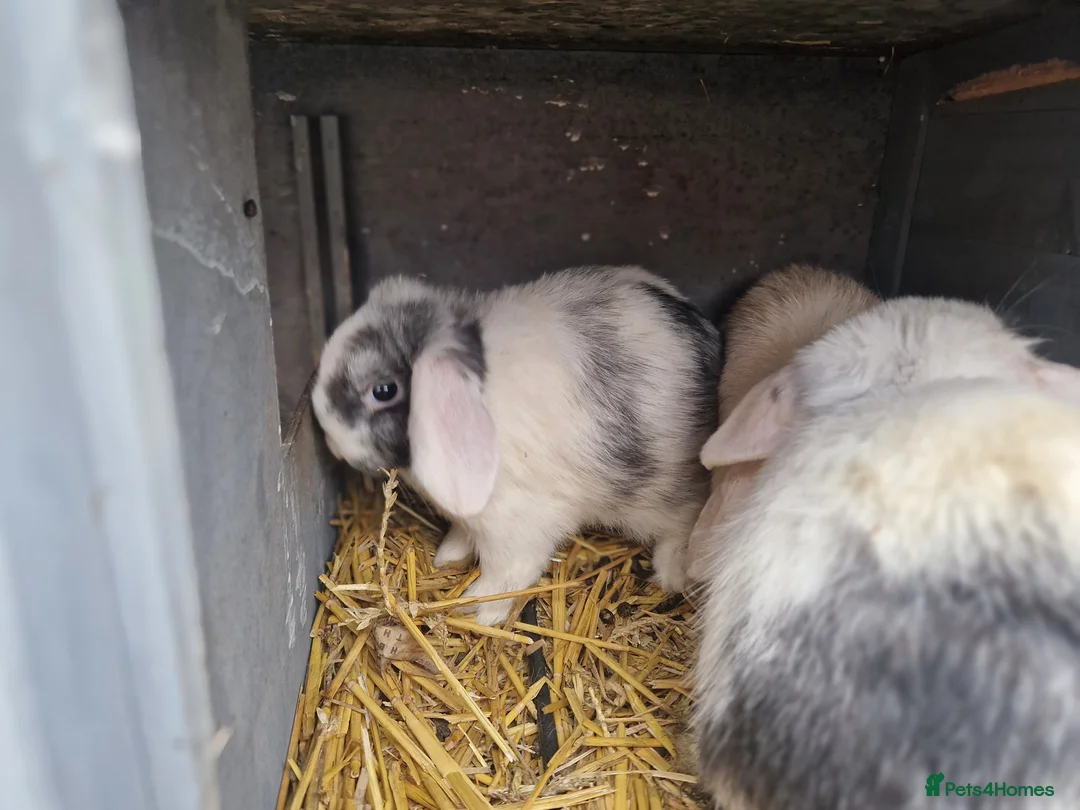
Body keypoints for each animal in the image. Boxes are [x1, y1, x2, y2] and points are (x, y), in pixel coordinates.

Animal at [312, 265, 720, 625]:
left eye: (383, 391)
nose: (331, 443)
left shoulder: (516, 525)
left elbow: (509, 573)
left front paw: (476, 608)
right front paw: (448, 556)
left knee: (687, 517)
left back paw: (671, 571)